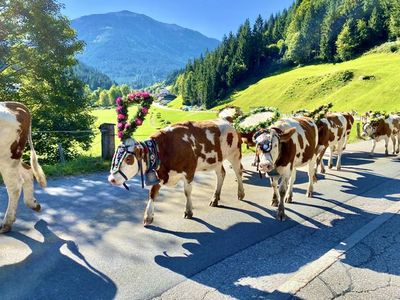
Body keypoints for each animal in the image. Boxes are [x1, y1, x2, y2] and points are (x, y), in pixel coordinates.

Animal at [0, 102, 47, 233]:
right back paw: (33, 204)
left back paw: (6, 223)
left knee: (14, 187)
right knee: (27, 170)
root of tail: (11, 103)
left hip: (7, 156)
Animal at [107, 119, 244, 225]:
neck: (163, 149)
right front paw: (148, 217)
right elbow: (152, 194)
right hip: (216, 160)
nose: (111, 179)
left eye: (129, 159)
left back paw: (240, 193)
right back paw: (215, 198)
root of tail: (227, 121)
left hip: (235, 154)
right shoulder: (159, 174)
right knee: (221, 174)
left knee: (238, 172)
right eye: (115, 156)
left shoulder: (189, 171)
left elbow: (187, 192)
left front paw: (188, 211)